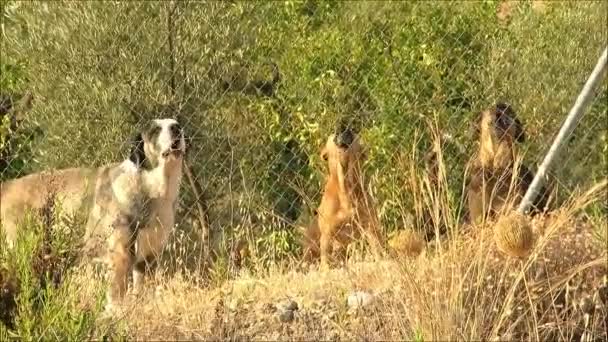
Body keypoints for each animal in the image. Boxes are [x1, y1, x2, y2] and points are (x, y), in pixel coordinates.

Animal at [302, 130, 380, 268]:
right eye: (333, 134)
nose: (344, 129)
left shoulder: (371, 227)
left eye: (353, 133)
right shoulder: (327, 235)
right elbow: (325, 261)